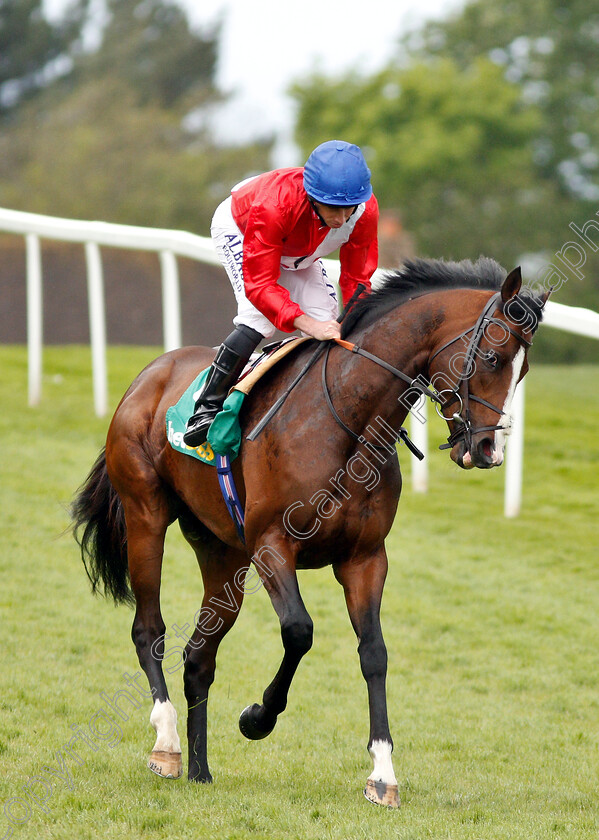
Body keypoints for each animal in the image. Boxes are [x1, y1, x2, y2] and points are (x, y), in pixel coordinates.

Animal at [71, 256, 548, 808]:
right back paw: (167, 744)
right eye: (493, 357)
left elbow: (374, 654)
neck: (348, 421)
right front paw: (256, 718)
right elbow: (299, 631)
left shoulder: (365, 558)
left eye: (524, 370)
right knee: (150, 631)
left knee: (198, 657)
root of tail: (148, 375)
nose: (489, 451)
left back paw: (200, 769)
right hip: (146, 516)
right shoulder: (272, 547)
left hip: (221, 553)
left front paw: (382, 773)